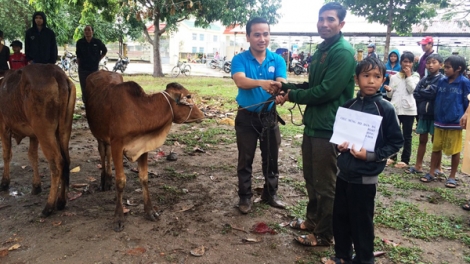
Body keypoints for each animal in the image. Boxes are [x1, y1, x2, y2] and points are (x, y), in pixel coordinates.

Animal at [0, 64, 76, 217]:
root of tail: (57, 74)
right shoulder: (34, 135)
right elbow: (32, 156)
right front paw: (36, 185)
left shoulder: (3, 126)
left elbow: (6, 154)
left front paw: (4, 182)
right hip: (63, 130)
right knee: (66, 160)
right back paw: (61, 201)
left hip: (44, 131)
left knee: (57, 162)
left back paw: (49, 206)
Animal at [84, 70, 204, 231]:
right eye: (189, 96)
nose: (202, 114)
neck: (140, 111)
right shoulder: (117, 144)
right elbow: (120, 181)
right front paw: (118, 217)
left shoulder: (143, 147)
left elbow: (144, 178)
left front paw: (150, 211)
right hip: (99, 135)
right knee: (103, 152)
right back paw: (104, 180)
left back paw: (108, 180)